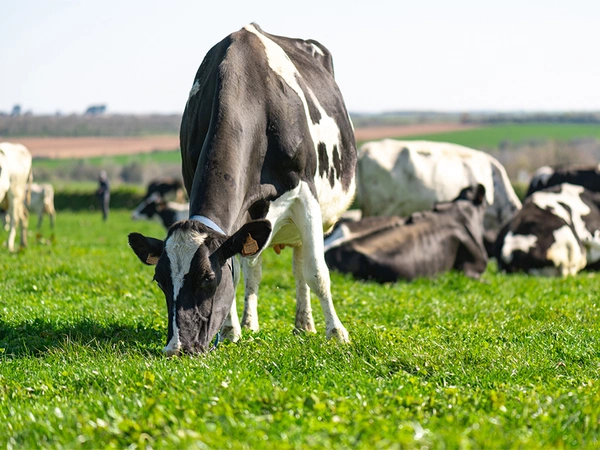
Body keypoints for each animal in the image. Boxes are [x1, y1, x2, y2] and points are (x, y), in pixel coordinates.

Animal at [127, 23, 356, 356]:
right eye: (160, 281)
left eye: (208, 278)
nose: (177, 348)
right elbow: (238, 267)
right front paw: (231, 331)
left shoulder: (306, 195)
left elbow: (317, 271)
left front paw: (337, 333)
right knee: (258, 268)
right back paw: (257, 323)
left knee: (301, 266)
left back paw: (305, 324)